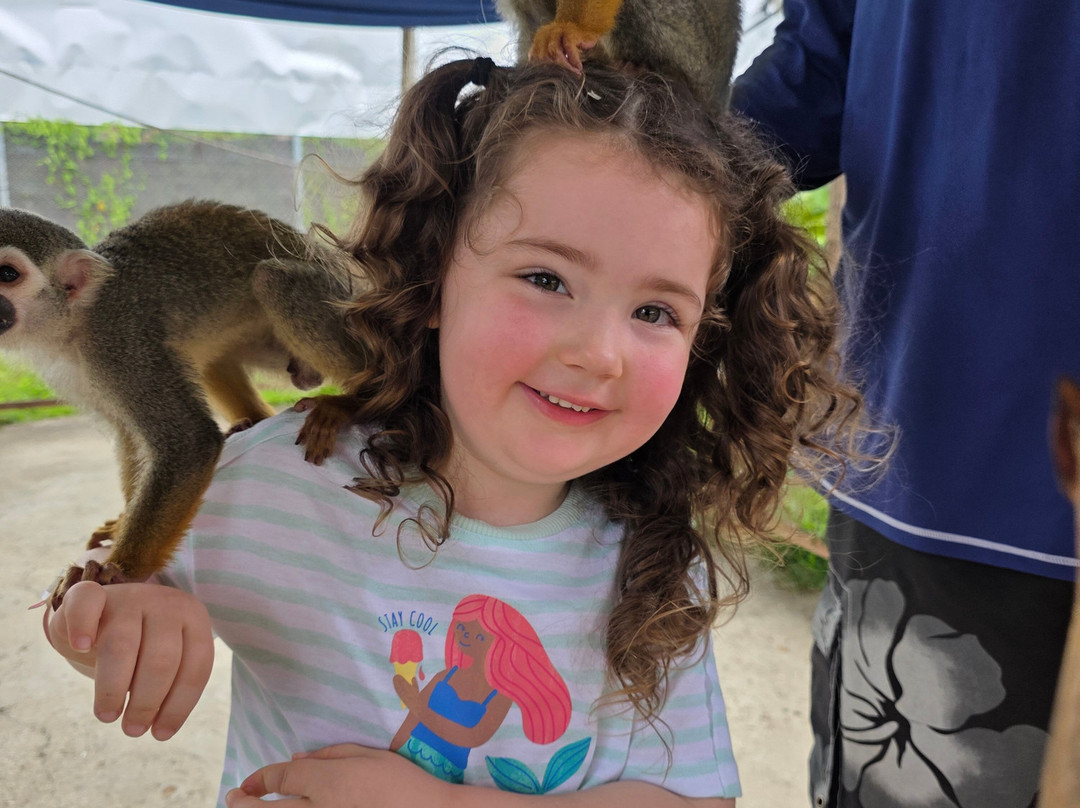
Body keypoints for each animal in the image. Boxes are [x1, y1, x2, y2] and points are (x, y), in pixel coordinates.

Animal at [0, 201, 368, 607]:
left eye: (7, 274)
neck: (75, 321)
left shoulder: (119, 342)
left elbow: (189, 441)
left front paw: (118, 571)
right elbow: (129, 437)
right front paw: (123, 523)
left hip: (338, 304)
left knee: (272, 279)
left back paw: (357, 400)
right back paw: (251, 419)